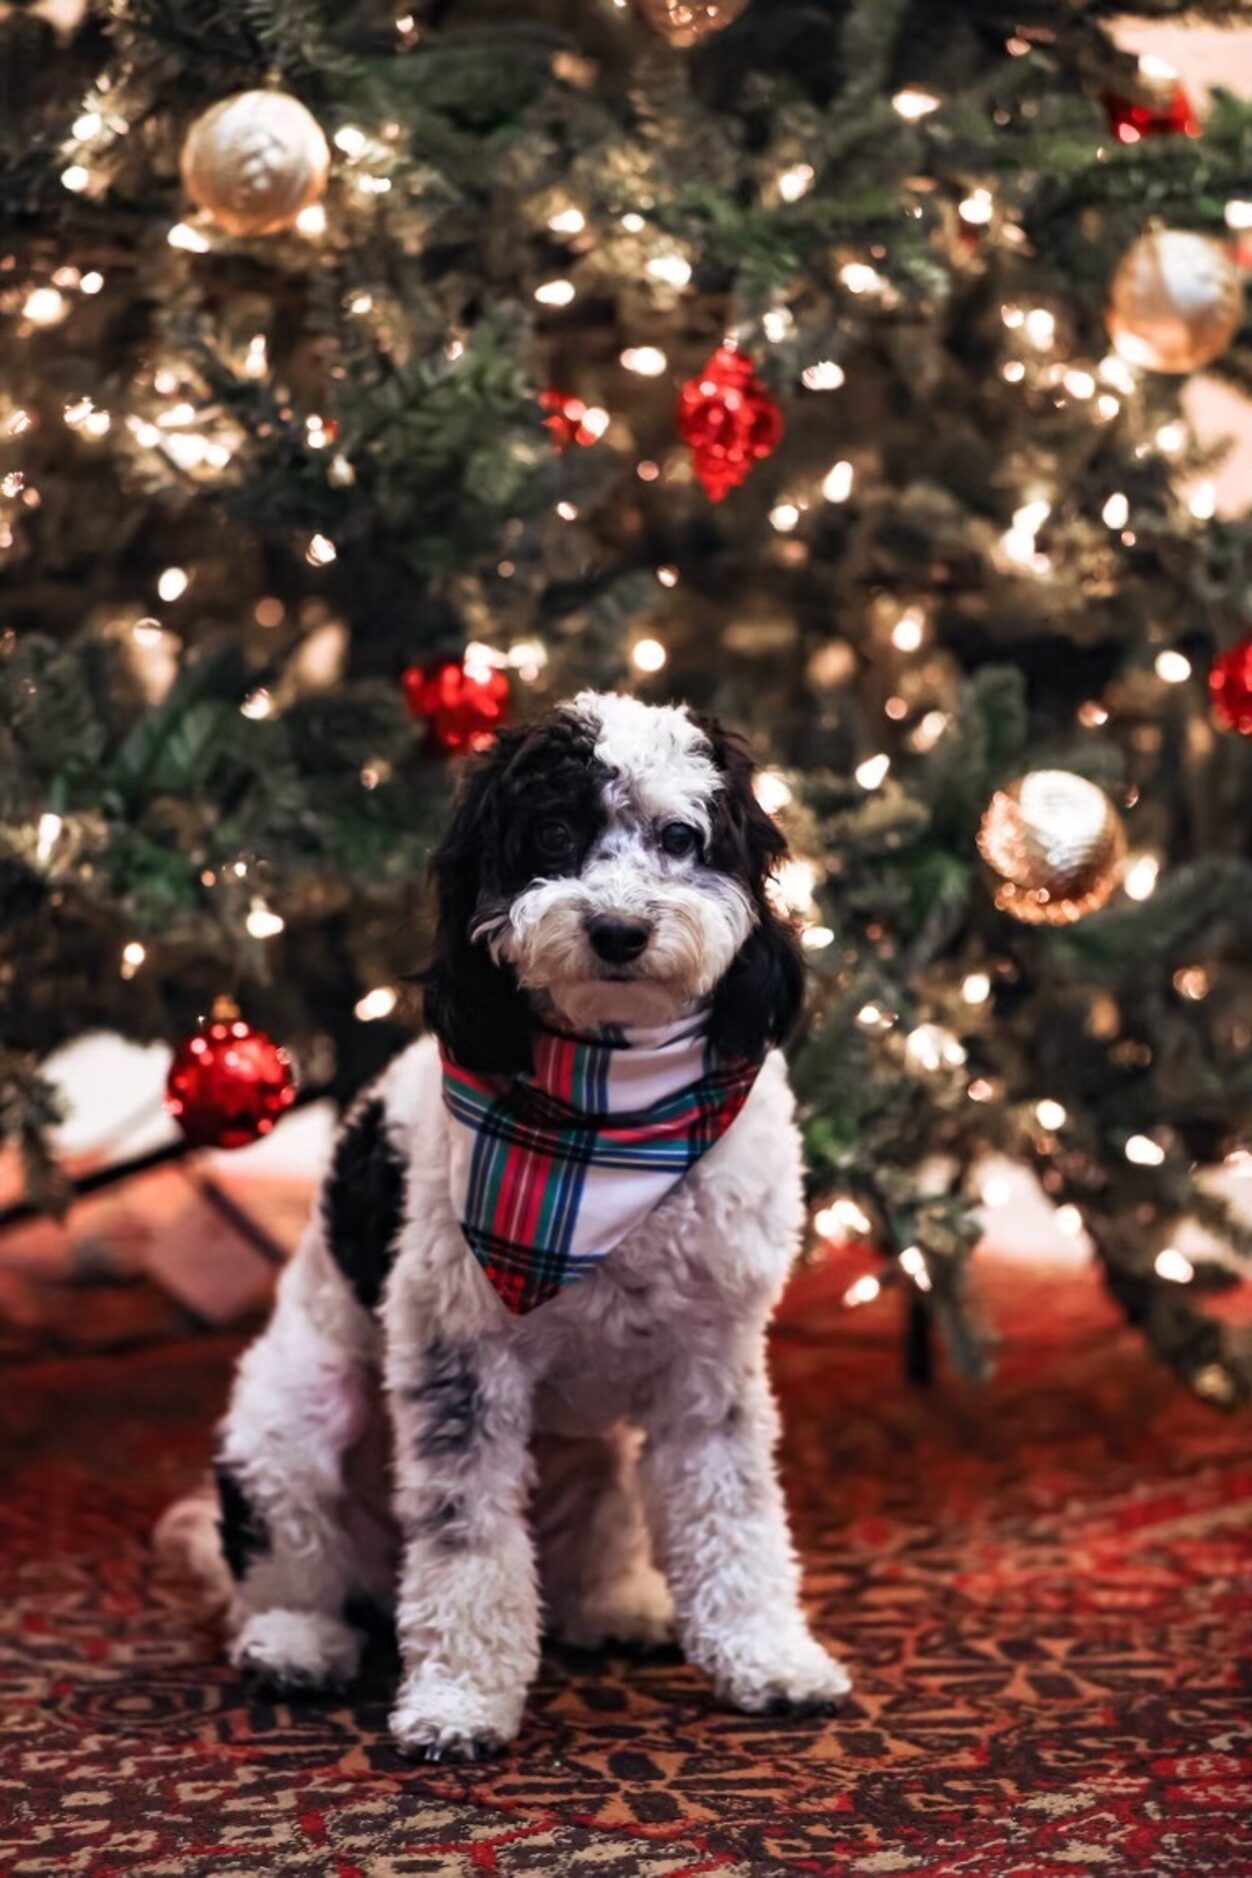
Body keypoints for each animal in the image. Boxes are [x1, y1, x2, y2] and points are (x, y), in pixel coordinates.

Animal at [203, 691, 852, 1757]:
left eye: (681, 837)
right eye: (551, 834)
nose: (619, 929)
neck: (612, 1111)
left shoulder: (710, 1359)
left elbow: (735, 1514)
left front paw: (769, 1656)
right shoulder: (458, 1362)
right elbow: (467, 1545)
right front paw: (460, 1700)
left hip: (598, 1454)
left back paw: (616, 1606)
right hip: (290, 1428)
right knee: (289, 1564)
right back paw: (297, 1643)